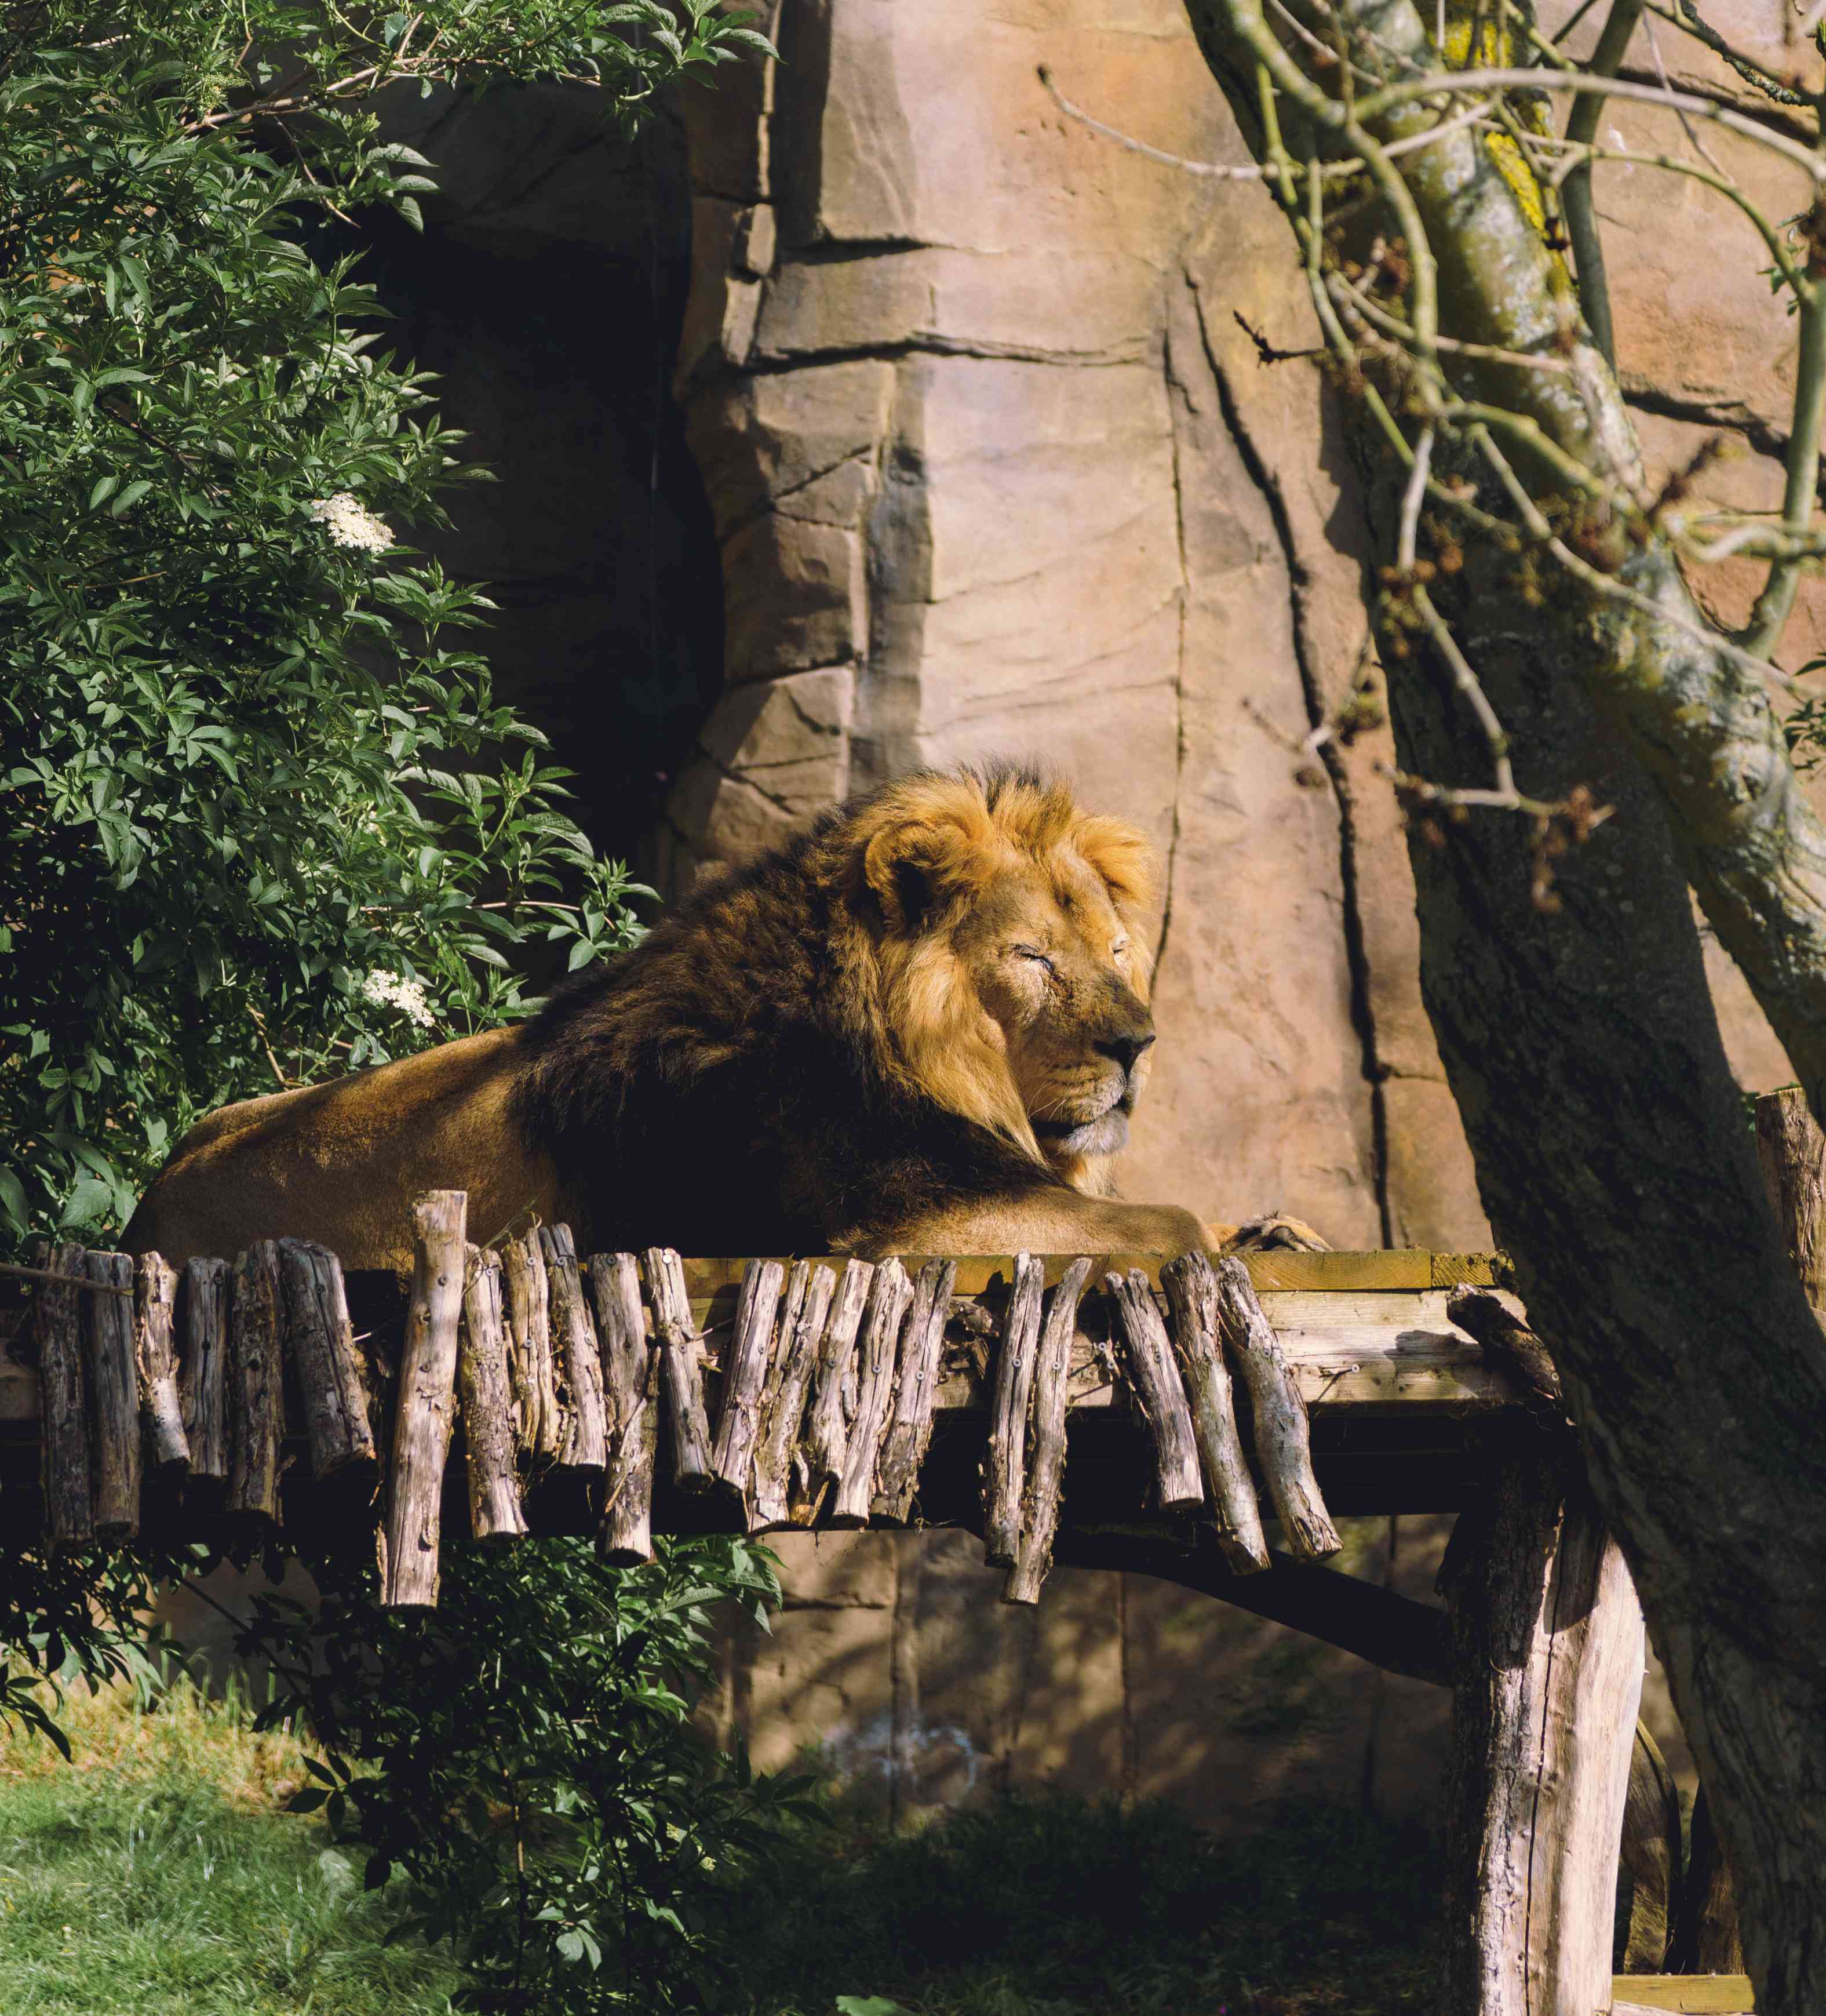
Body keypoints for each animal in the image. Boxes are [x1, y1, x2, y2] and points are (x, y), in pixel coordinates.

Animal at [125, 765, 1321, 1269]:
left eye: (1114, 953)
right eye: (1031, 959)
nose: (1138, 1045)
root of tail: (147, 1204)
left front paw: (1278, 1227)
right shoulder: (903, 1223)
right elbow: (1169, 1225)